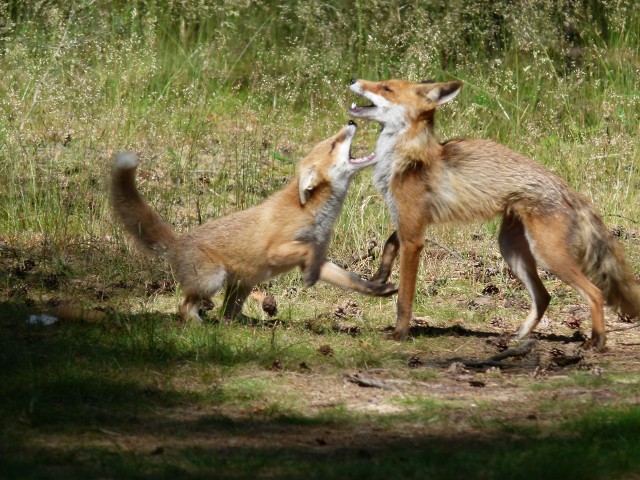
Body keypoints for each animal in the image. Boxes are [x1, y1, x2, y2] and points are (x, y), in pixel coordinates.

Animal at [112, 121, 398, 322]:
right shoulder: (281, 251)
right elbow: (306, 255)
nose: (351, 121)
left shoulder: (320, 258)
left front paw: (378, 288)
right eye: (333, 144)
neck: (312, 213)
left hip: (242, 286)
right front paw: (309, 279)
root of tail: (178, 242)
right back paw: (197, 323)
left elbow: (353, 281)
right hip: (212, 280)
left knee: (227, 314)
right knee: (185, 308)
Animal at [350, 79, 640, 348]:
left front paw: (399, 333)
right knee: (544, 296)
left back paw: (597, 341)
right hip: (512, 250)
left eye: (386, 88)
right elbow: (390, 242)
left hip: (548, 256)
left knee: (595, 293)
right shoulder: (410, 222)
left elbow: (404, 298)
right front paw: (379, 277)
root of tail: (568, 190)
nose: (355, 80)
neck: (405, 158)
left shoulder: (413, 237)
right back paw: (519, 336)